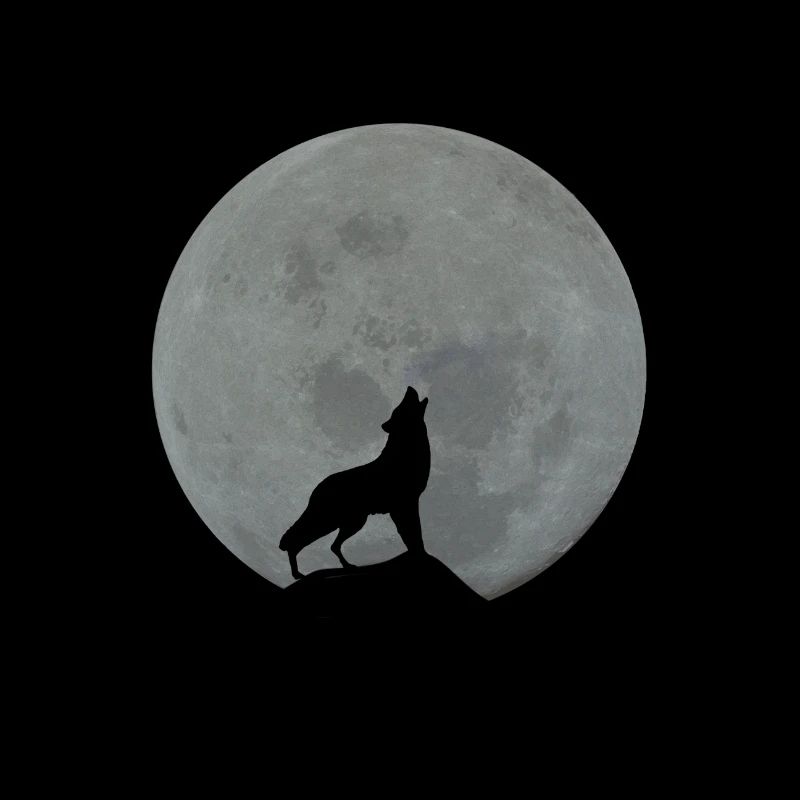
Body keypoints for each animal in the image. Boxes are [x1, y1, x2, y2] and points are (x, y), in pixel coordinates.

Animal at [279, 386, 431, 579]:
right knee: (297, 540)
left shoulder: (405, 506)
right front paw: (420, 556)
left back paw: (345, 566)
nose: (409, 388)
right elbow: (413, 533)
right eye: (400, 407)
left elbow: (412, 534)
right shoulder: (404, 505)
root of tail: (317, 488)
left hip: (352, 522)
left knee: (332, 546)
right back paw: (298, 574)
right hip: (330, 521)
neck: (406, 450)